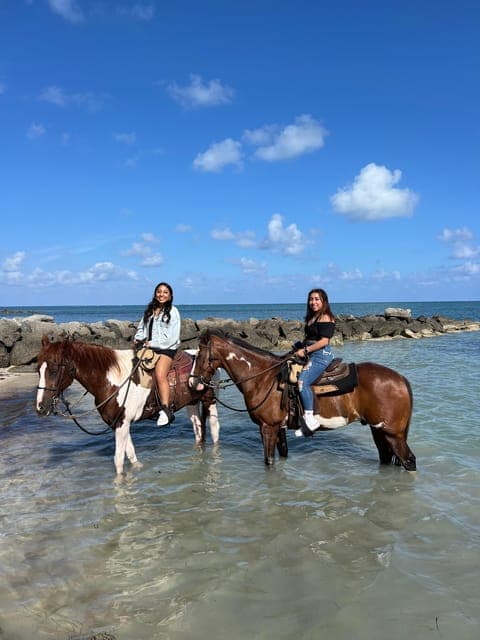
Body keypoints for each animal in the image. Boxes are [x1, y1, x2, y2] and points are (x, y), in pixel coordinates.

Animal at [36, 335, 220, 475]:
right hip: (192, 404)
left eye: (53, 370)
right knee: (198, 429)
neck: (112, 381)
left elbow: (118, 460)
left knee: (214, 429)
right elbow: (130, 454)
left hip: (209, 399)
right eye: (38, 370)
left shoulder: (122, 423)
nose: (41, 408)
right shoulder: (119, 423)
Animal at [190, 329, 416, 471]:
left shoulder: (267, 427)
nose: (193, 381)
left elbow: (268, 461)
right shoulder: (278, 428)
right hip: (379, 430)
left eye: (199, 354)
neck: (263, 377)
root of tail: (401, 379)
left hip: (393, 434)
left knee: (409, 461)